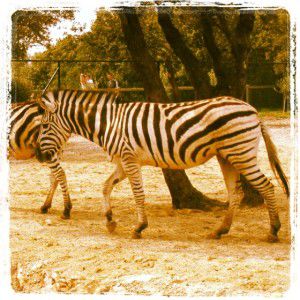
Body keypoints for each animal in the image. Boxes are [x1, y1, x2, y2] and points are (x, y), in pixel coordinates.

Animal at [35, 90, 288, 243]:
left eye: (44, 125)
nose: (38, 155)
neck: (110, 123)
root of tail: (253, 110)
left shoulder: (129, 158)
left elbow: (138, 193)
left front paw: (139, 227)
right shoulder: (122, 162)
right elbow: (105, 187)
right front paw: (110, 221)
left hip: (240, 153)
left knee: (267, 186)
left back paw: (273, 231)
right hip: (227, 156)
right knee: (235, 193)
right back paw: (220, 230)